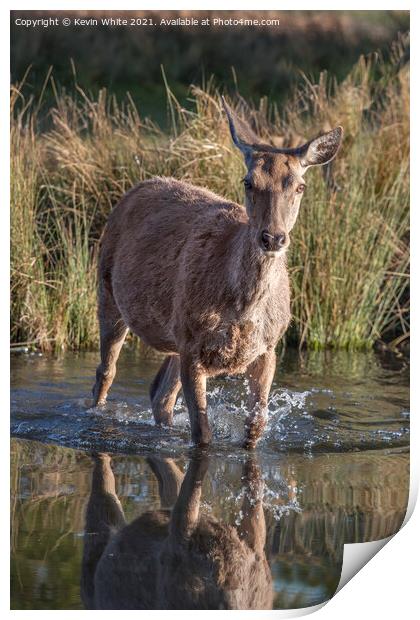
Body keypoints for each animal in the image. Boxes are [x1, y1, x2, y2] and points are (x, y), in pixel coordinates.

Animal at [92, 101, 342, 450]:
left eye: (300, 186)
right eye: (248, 182)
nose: (273, 238)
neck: (242, 308)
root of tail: (138, 187)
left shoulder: (268, 348)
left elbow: (255, 427)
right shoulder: (192, 345)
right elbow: (203, 435)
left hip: (174, 332)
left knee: (159, 393)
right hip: (109, 292)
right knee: (105, 373)